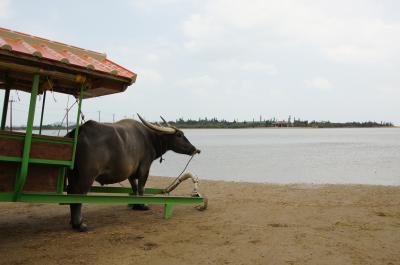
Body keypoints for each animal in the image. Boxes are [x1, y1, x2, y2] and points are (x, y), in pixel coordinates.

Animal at [67, 114, 203, 230]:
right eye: (179, 134)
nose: (195, 149)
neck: (150, 138)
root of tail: (80, 131)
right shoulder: (144, 167)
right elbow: (141, 187)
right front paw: (143, 205)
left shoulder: (131, 172)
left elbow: (134, 187)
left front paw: (135, 205)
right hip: (86, 176)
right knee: (77, 195)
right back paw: (79, 224)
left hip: (73, 175)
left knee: (70, 193)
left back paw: (73, 222)